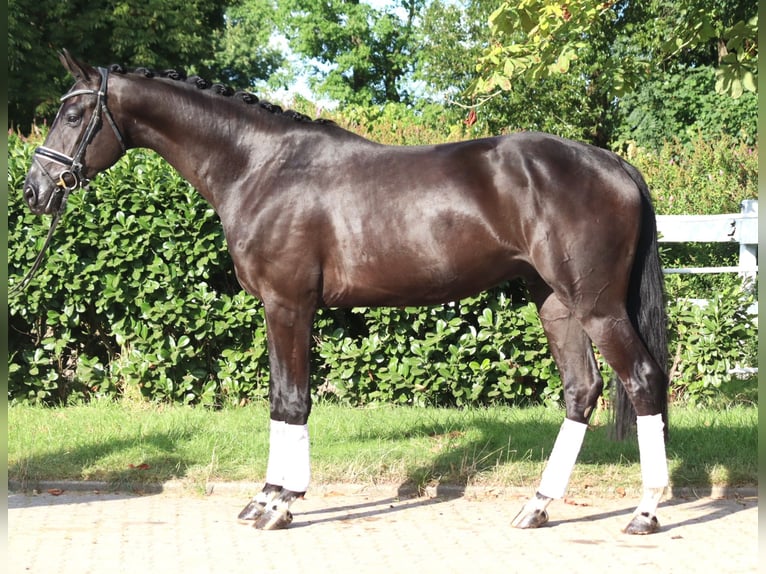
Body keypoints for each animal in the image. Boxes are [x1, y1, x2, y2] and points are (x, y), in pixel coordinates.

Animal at [22, 50, 670, 535]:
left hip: (596, 306)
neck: (259, 166)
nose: (34, 190)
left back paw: (644, 512)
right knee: (581, 390)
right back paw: (536, 506)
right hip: (555, 302)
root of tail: (611, 162)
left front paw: (278, 505)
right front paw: (266, 497)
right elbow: (281, 398)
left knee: (642, 381)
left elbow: (291, 400)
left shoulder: (288, 304)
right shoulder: (280, 306)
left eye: (76, 113)